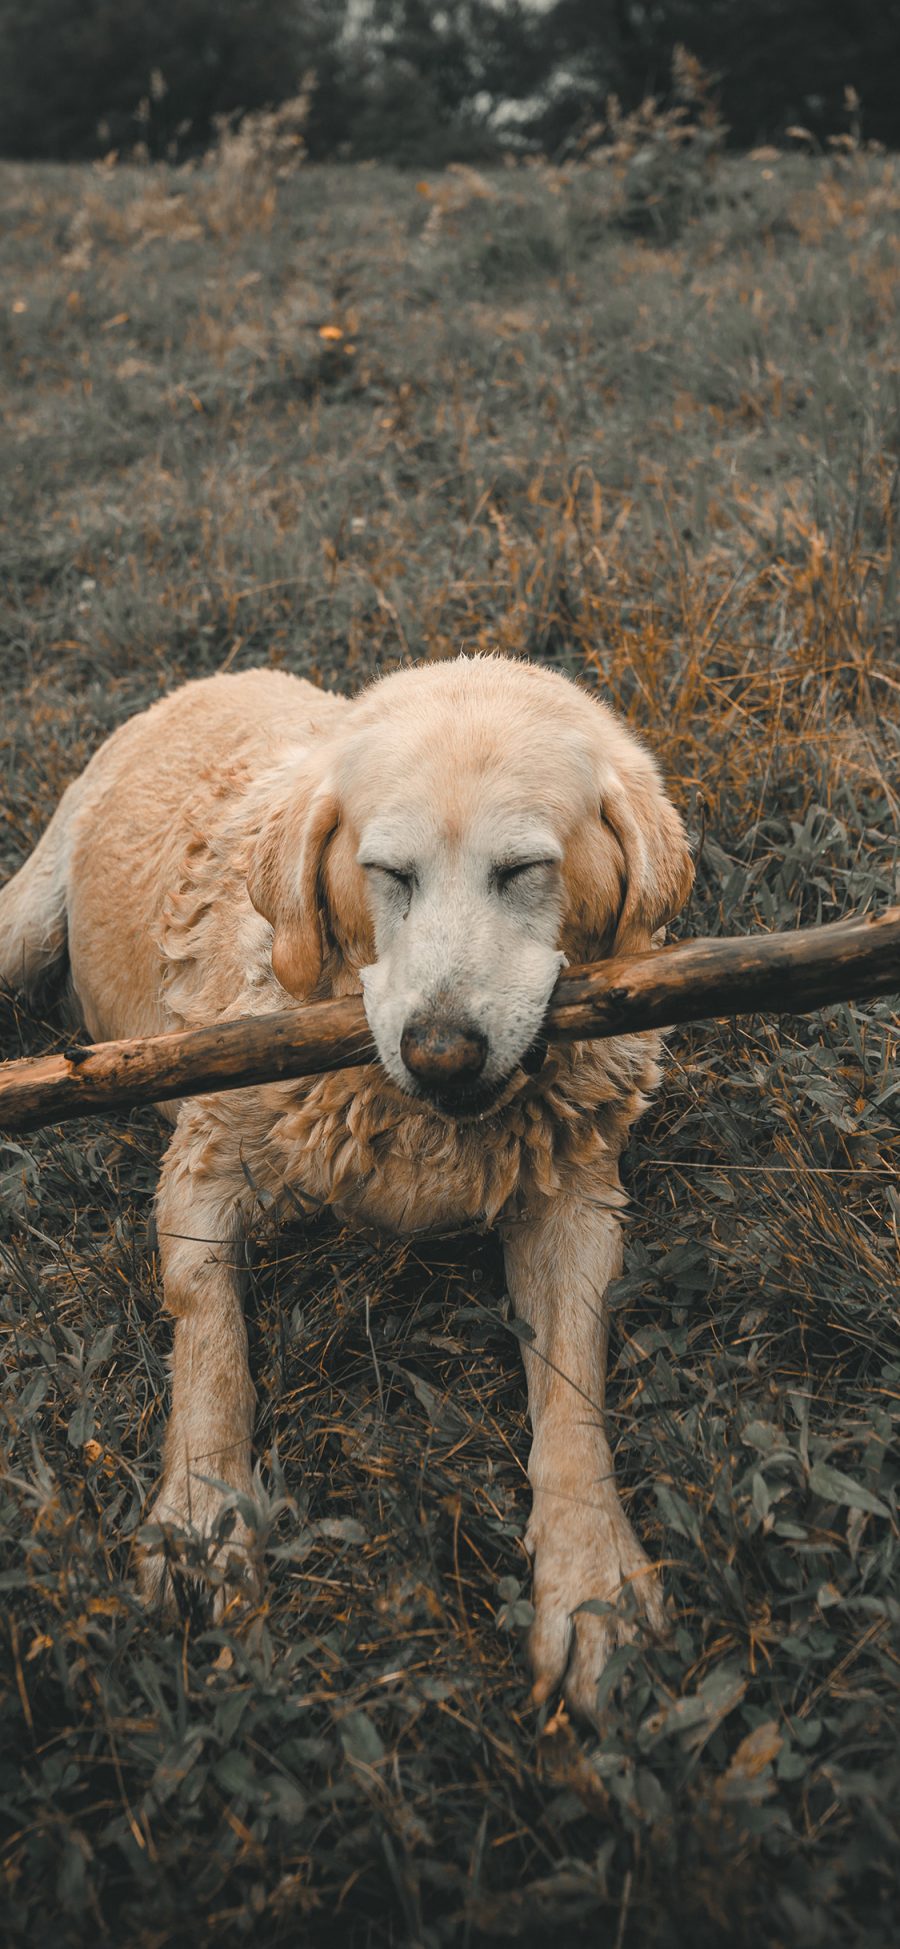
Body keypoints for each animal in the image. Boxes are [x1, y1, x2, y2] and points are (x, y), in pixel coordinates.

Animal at [0, 654, 697, 1722]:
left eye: (524, 868)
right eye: (387, 872)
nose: (442, 1053)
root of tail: (212, 676)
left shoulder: (576, 1203)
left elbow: (574, 1392)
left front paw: (592, 1583)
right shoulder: (205, 1167)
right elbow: (210, 1343)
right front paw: (203, 1513)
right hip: (25, 920)